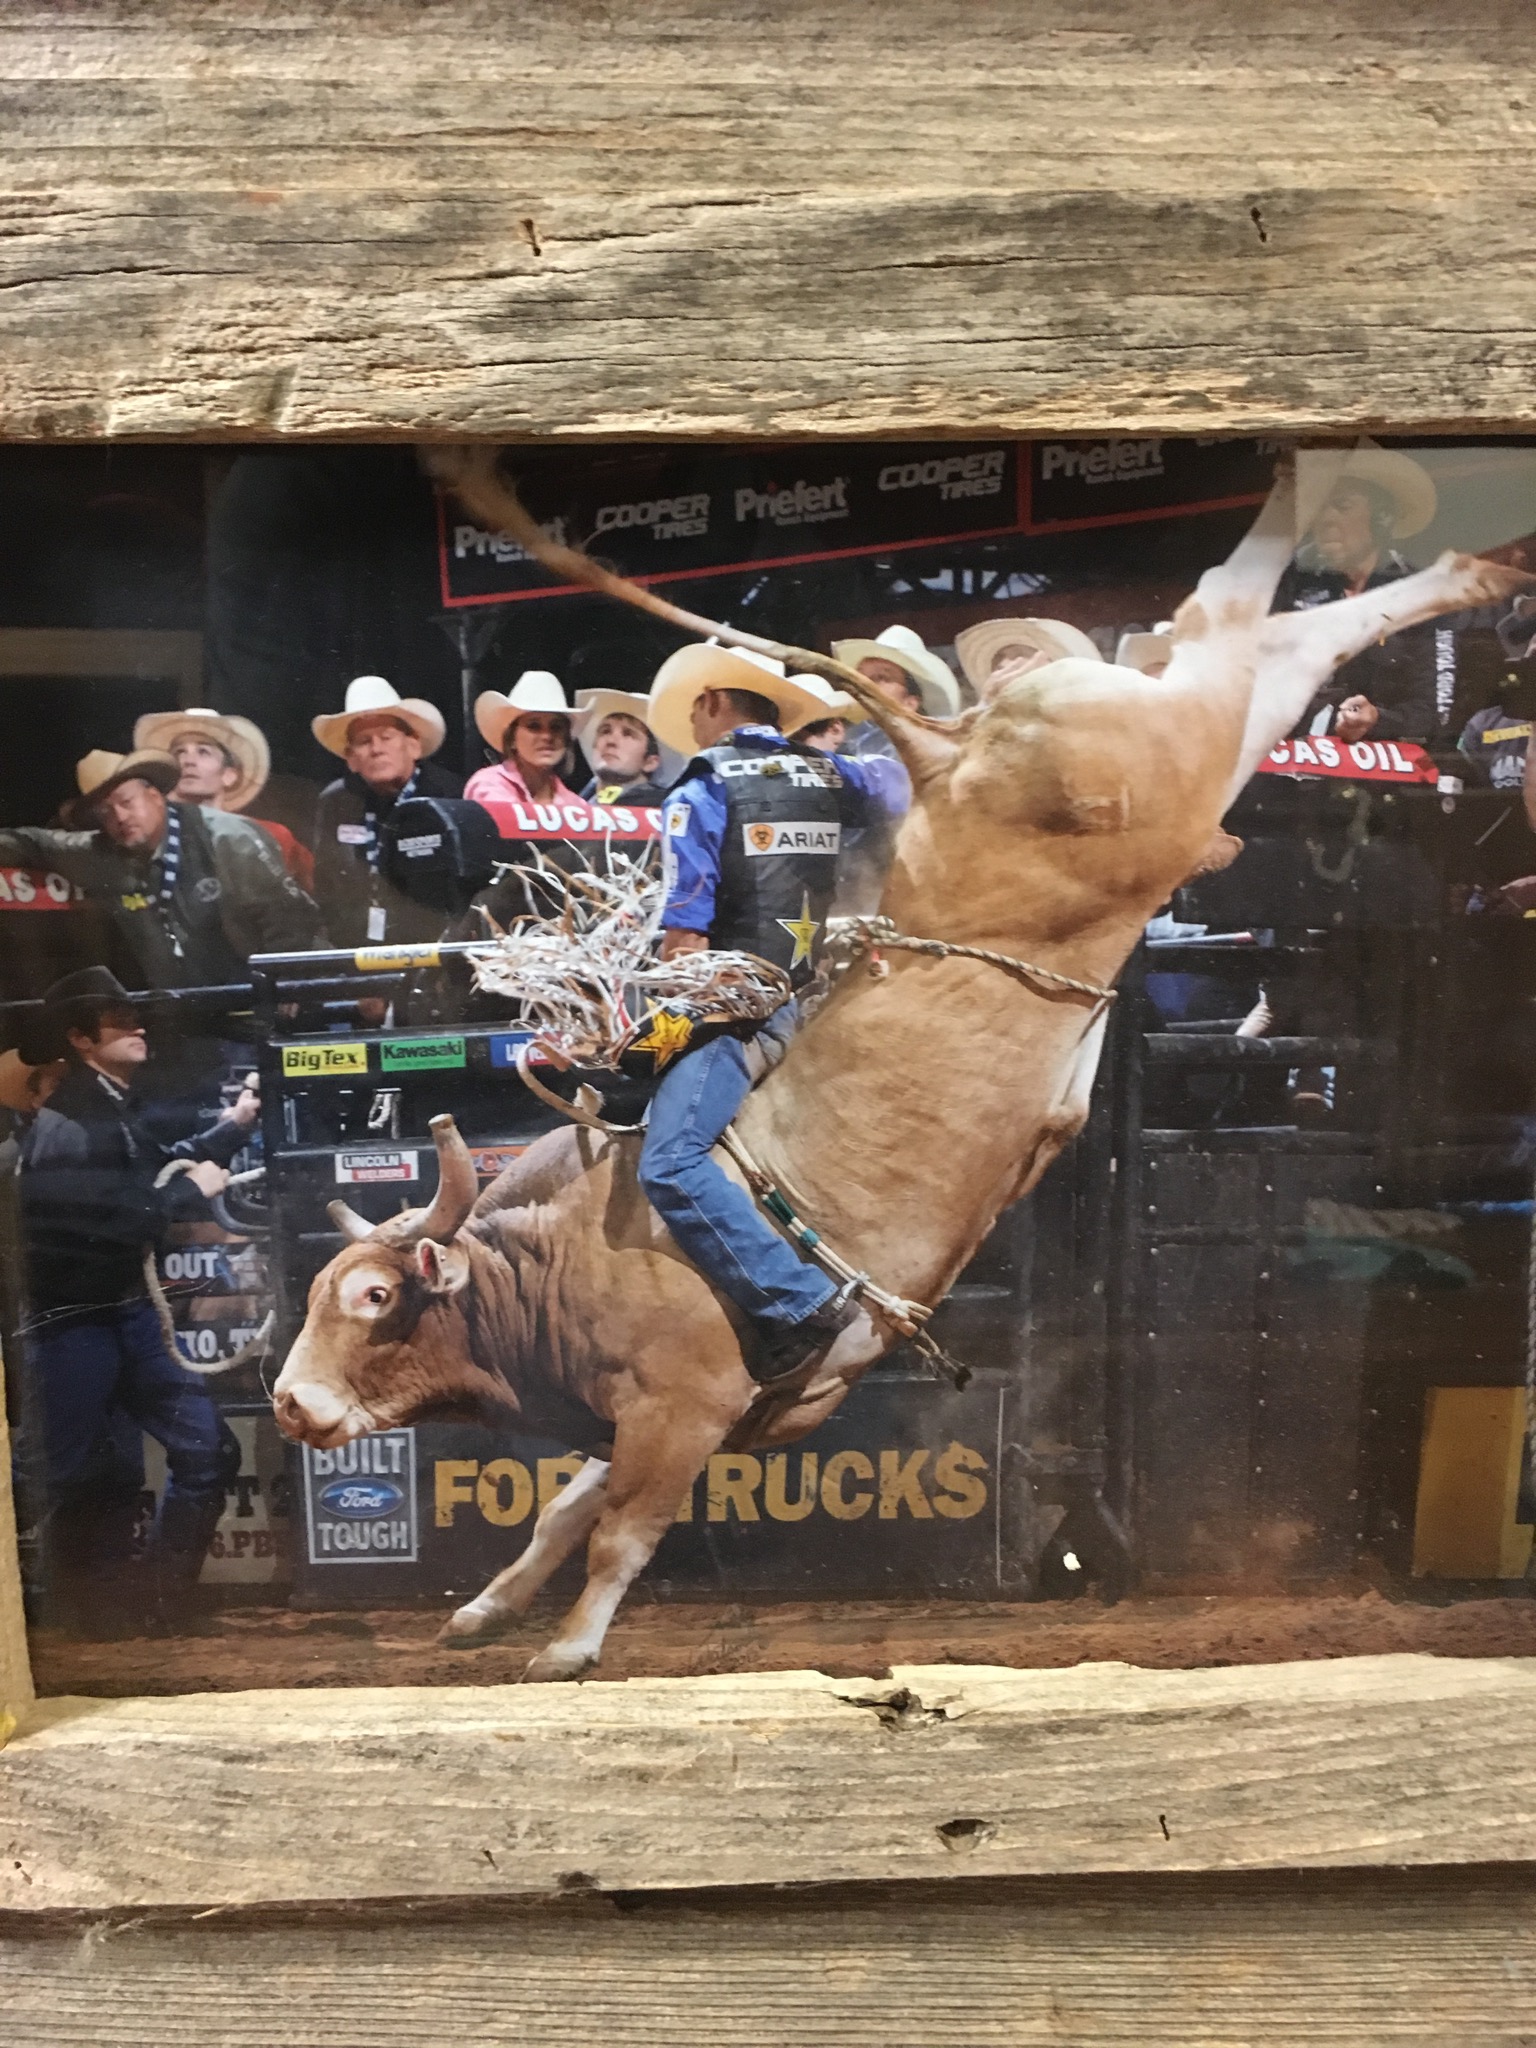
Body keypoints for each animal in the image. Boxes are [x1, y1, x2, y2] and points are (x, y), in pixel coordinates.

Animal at [274, 454, 1531, 1679]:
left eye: (375, 1295)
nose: (286, 1402)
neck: (570, 1253)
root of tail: (950, 750)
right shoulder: (639, 1421)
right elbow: (561, 1509)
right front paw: (483, 1611)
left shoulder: (682, 1406)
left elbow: (624, 1526)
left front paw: (570, 1646)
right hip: (1170, 733)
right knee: (1228, 612)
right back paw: (1422, 529)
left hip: (1176, 757)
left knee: (1249, 626)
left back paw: (1417, 531)